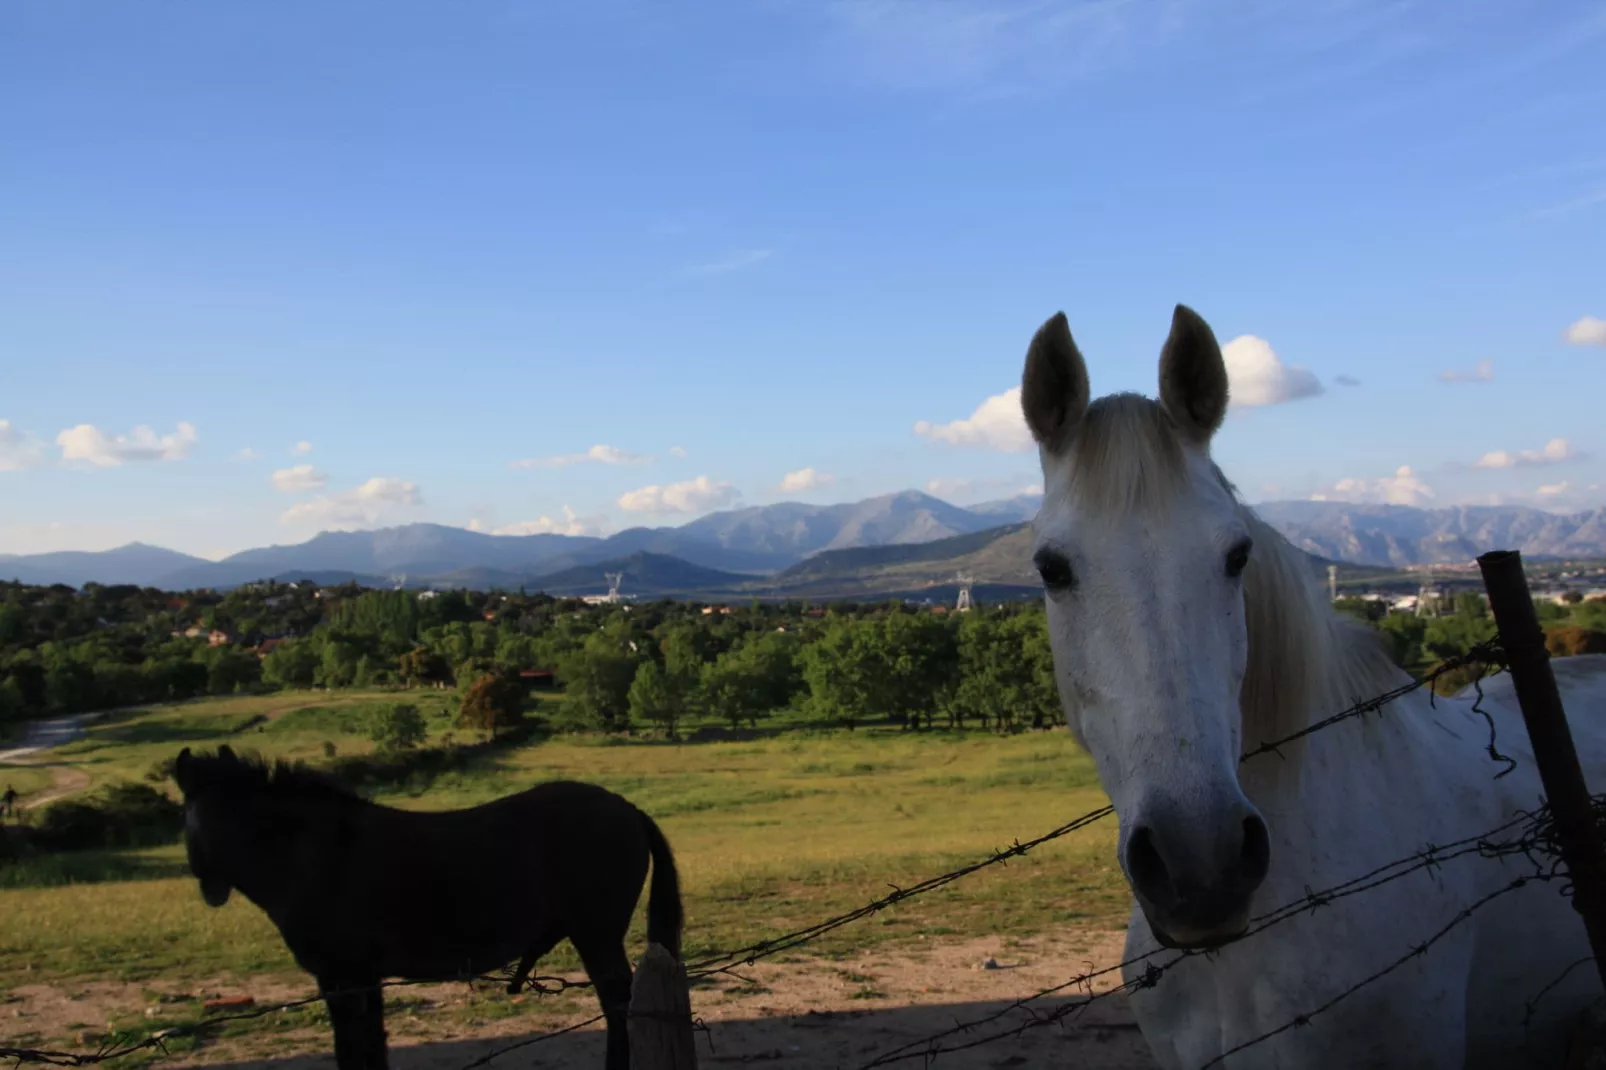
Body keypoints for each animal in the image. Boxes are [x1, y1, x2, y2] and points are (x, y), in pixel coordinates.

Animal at [171, 742, 684, 1066]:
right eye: (191, 814)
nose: (209, 887)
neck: (313, 854)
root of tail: (628, 809)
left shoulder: (344, 976)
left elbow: (354, 1049)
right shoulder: (358, 977)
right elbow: (367, 1046)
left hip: (596, 936)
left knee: (620, 1009)